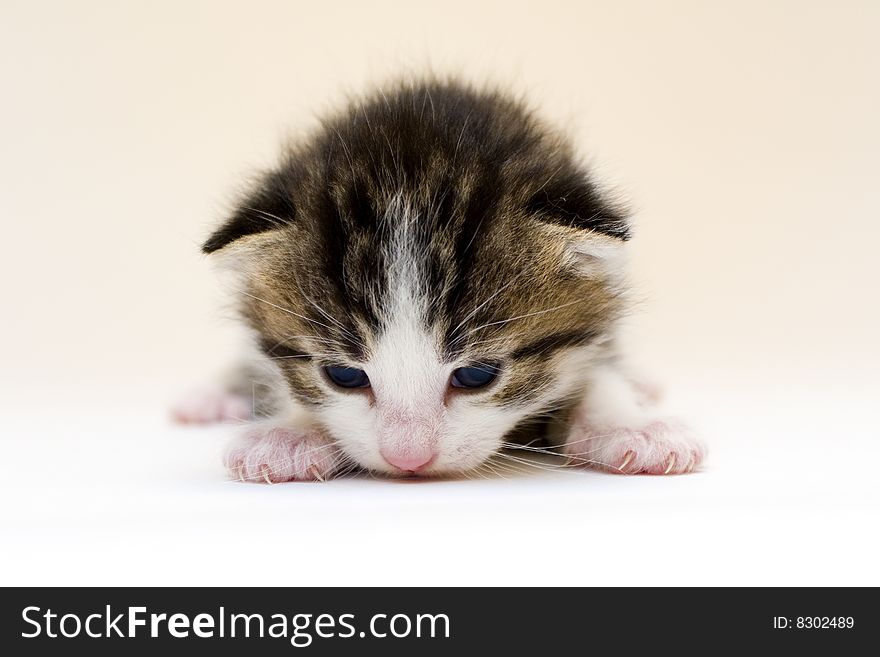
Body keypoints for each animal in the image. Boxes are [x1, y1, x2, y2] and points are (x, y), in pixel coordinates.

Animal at [175, 80, 704, 482]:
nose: (408, 459)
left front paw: (633, 428)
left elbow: (601, 372)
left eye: (477, 375)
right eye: (343, 375)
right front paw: (293, 433)